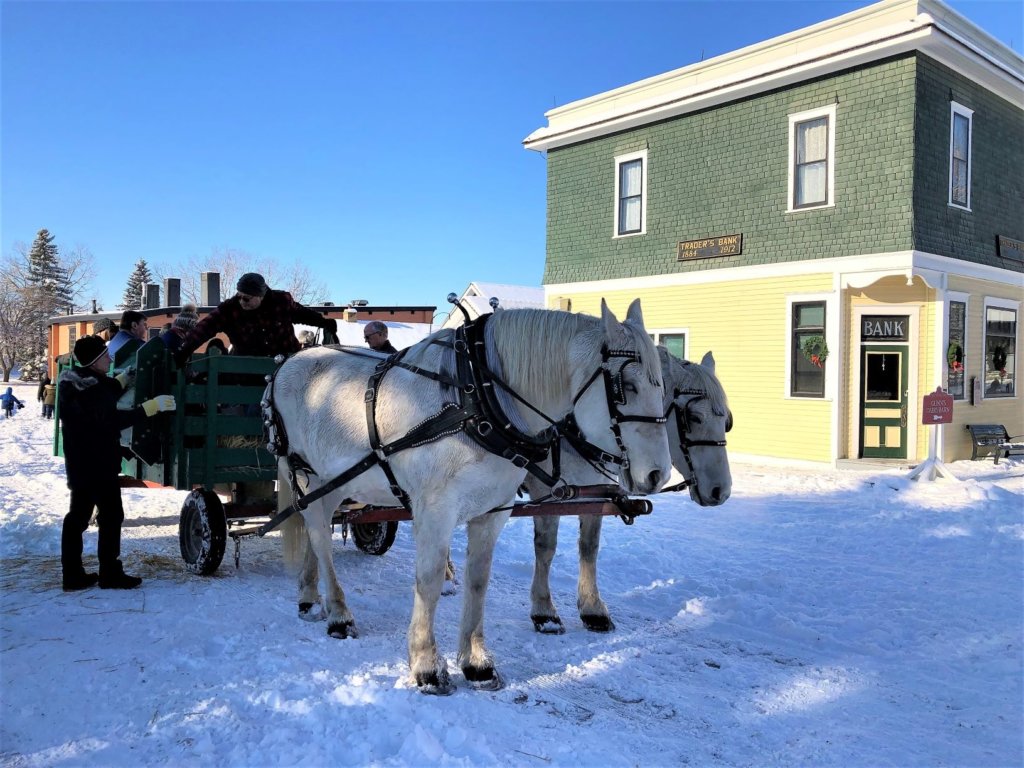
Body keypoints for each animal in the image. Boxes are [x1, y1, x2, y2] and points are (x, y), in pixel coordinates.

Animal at [264, 303, 671, 696]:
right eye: (625, 386)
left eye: (662, 386)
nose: (659, 474)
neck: (477, 398)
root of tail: (287, 362)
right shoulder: (435, 509)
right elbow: (427, 581)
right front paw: (426, 666)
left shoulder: (493, 511)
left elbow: (480, 580)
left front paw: (477, 664)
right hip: (305, 473)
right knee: (320, 536)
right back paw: (339, 615)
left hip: (333, 480)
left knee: (315, 532)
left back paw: (309, 596)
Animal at [528, 352, 729, 634]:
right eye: (694, 417)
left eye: (726, 421)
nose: (721, 490)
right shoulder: (545, 492)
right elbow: (546, 548)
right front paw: (544, 611)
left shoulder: (596, 492)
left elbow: (589, 548)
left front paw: (593, 609)